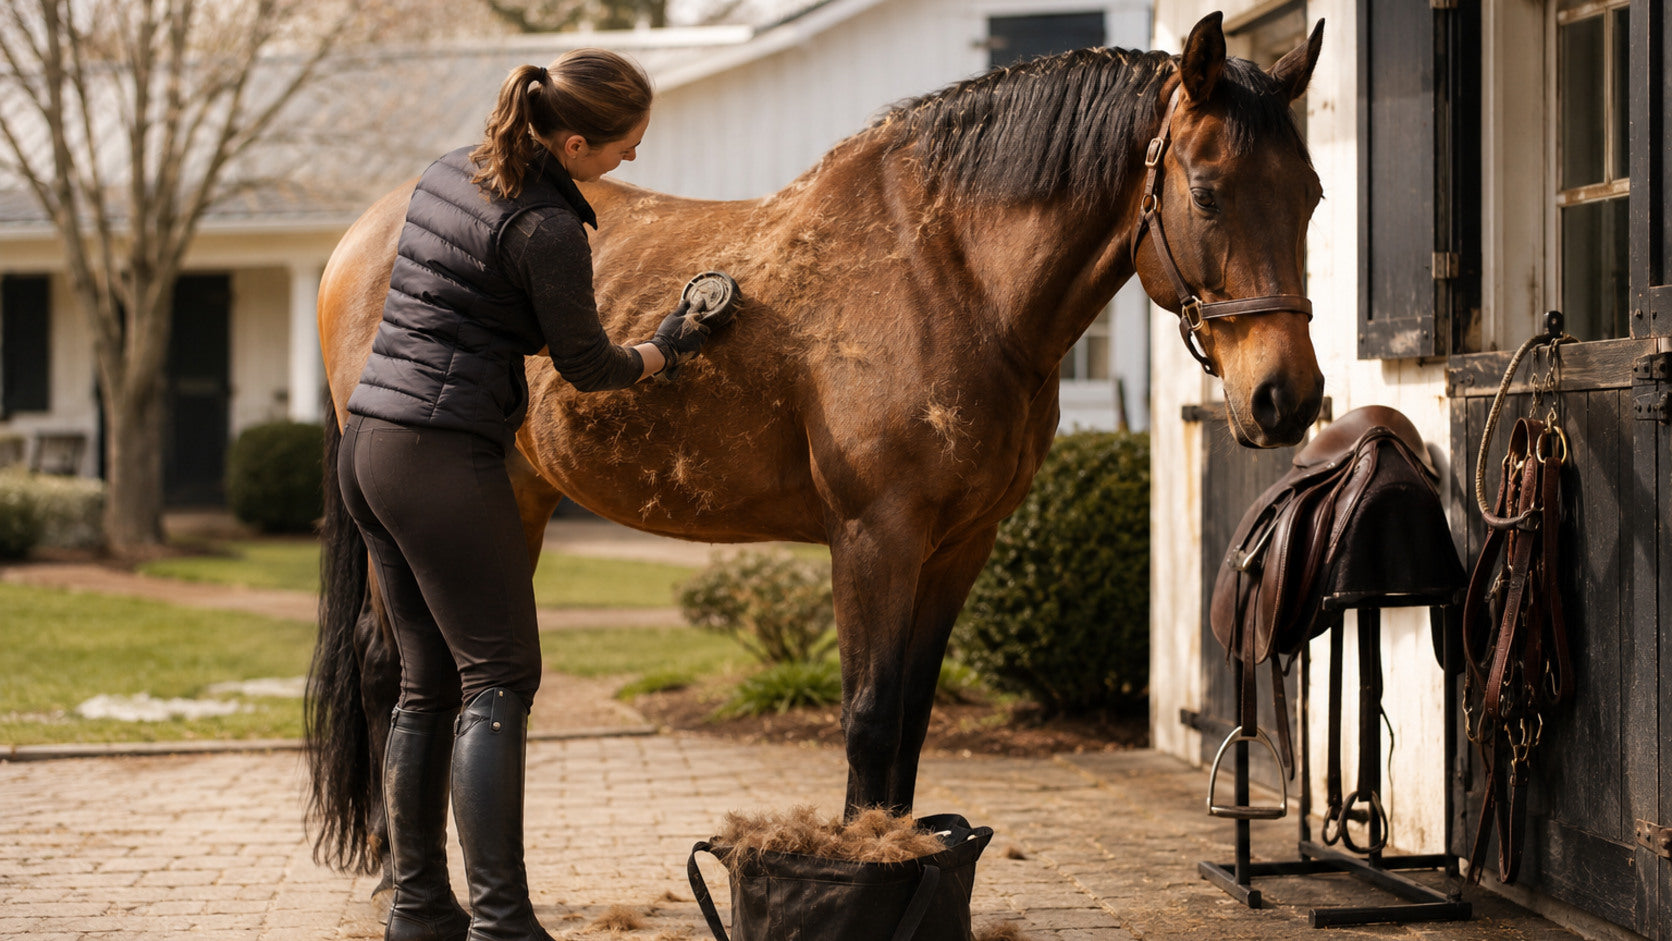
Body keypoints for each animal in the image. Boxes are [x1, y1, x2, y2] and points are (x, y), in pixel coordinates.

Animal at [306, 11, 1327, 876]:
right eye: (1207, 191)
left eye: (1314, 195)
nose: (1286, 399)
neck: (948, 277)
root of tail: (359, 237)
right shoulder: (875, 536)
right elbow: (869, 717)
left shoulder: (961, 545)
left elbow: (911, 716)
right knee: (396, 672)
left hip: (510, 506)